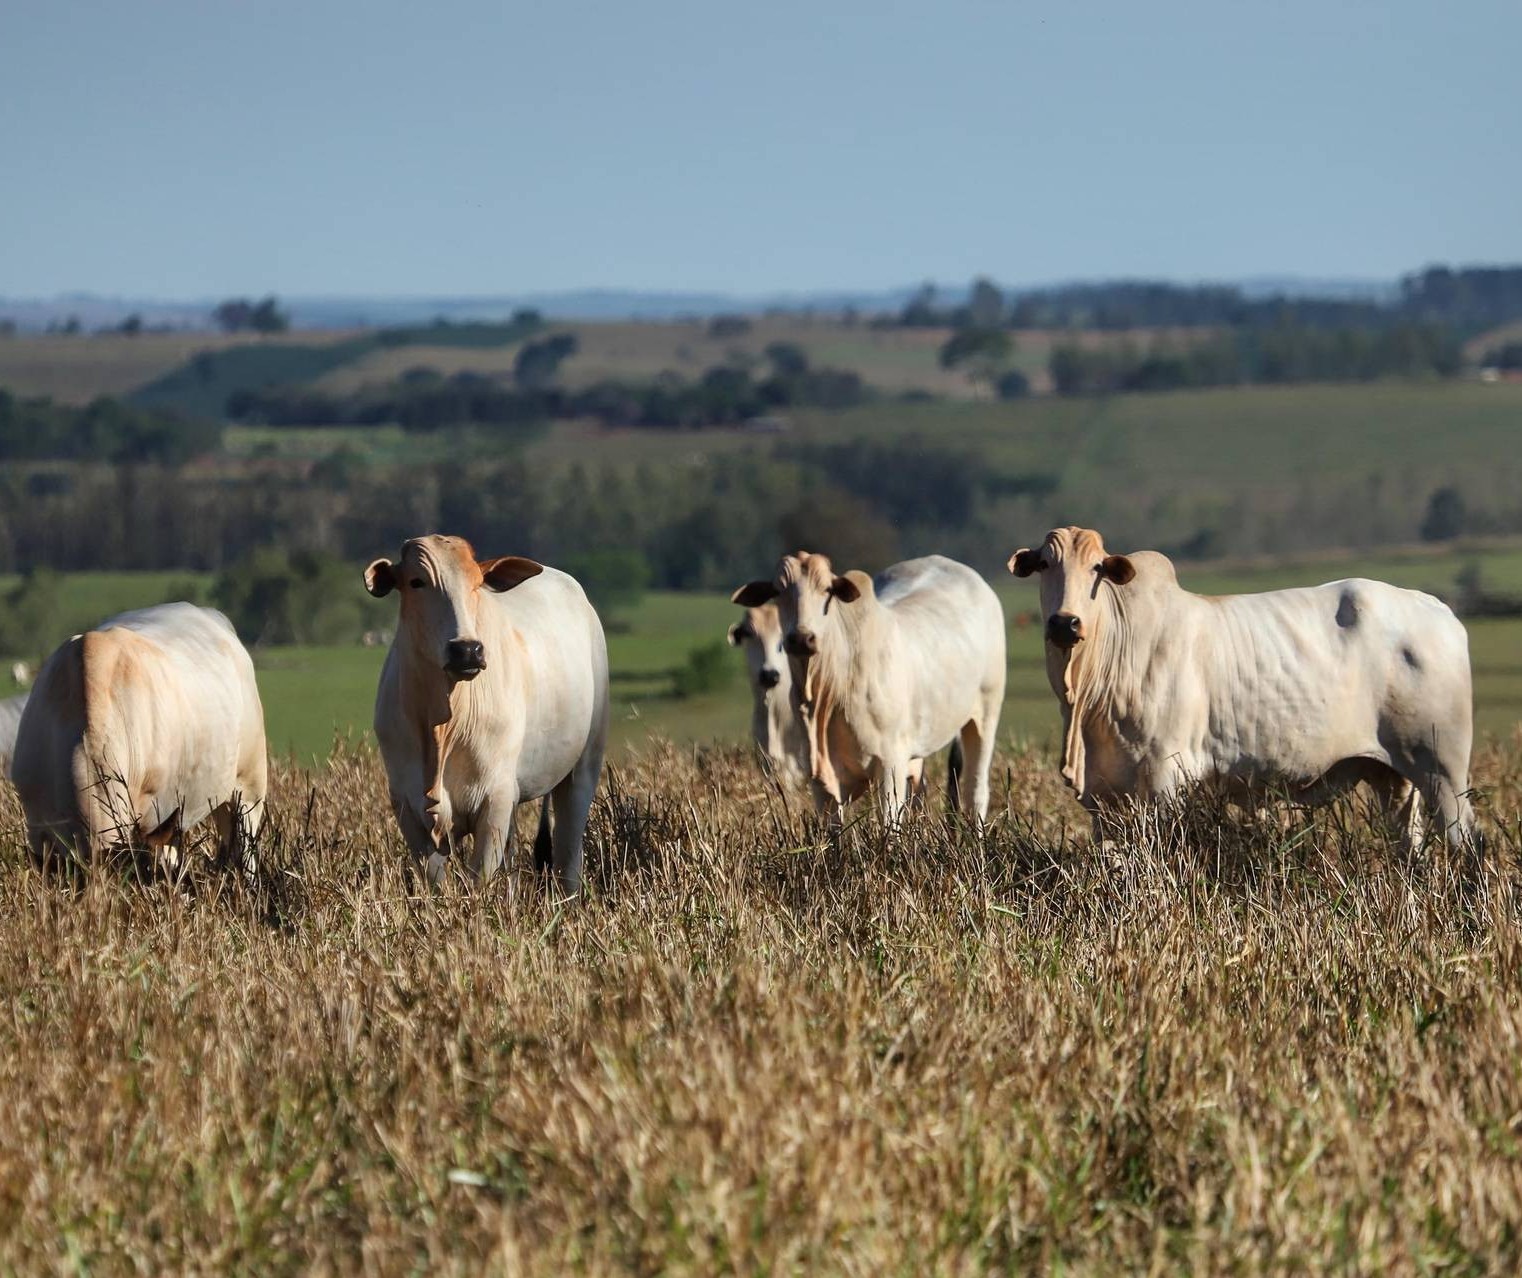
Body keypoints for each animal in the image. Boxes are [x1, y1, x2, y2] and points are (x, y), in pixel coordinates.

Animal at [365, 535, 608, 894]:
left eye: (477, 583)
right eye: (416, 582)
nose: (466, 650)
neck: (444, 722)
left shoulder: (494, 800)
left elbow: (479, 879)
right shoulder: (407, 806)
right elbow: (435, 882)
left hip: (583, 766)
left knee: (568, 854)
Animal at [730, 550, 1004, 821]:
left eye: (827, 590)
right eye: (778, 592)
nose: (801, 638)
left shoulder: (890, 763)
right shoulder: (819, 777)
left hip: (985, 717)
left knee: (976, 791)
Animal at [1010, 523, 1473, 852]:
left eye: (1096, 569)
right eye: (1045, 565)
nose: (1065, 623)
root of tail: (1436, 608)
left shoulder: (1164, 778)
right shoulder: (1101, 797)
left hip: (1444, 771)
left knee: (1467, 842)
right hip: (1395, 777)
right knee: (1408, 845)